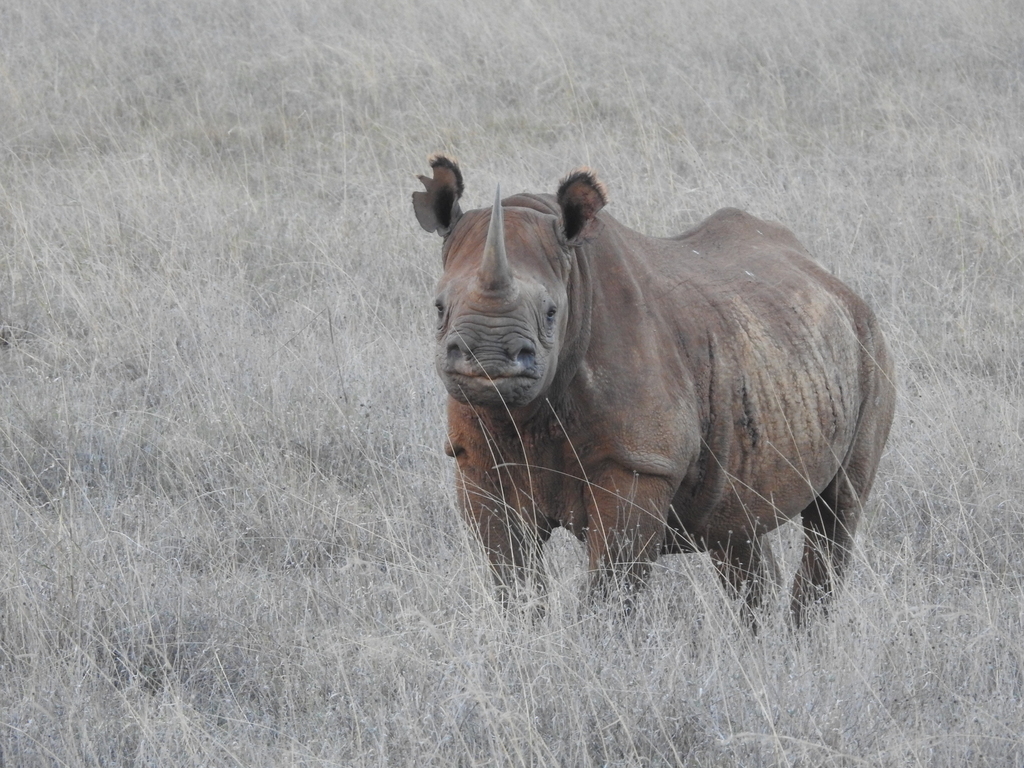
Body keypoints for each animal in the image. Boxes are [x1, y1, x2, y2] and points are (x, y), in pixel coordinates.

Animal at [413, 155, 895, 623]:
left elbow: (611, 589)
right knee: (738, 526)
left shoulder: (640, 463)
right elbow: (511, 578)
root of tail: (828, 277)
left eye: (550, 313)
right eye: (438, 307)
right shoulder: (475, 459)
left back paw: (803, 635)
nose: (488, 358)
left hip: (868, 345)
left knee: (837, 511)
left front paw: (598, 644)